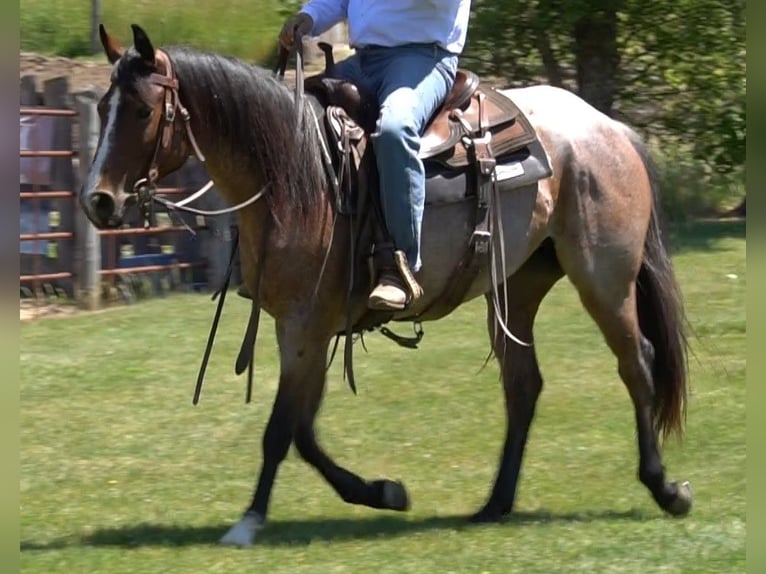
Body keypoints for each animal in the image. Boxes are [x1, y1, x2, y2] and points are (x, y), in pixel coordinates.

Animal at [79, 24, 692, 546]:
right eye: (104, 108)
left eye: (141, 110)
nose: (98, 201)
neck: (296, 174)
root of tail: (609, 127)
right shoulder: (302, 330)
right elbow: (302, 431)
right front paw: (382, 492)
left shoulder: (305, 328)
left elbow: (281, 430)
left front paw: (249, 521)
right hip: (516, 288)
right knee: (524, 385)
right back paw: (495, 503)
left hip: (604, 277)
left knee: (637, 361)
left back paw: (665, 488)